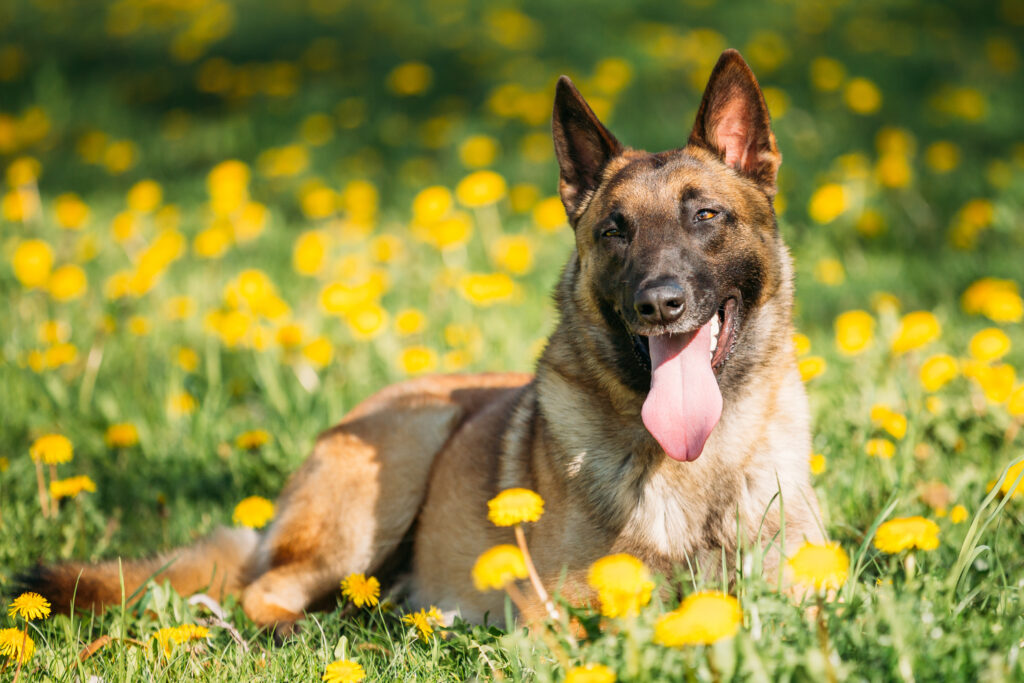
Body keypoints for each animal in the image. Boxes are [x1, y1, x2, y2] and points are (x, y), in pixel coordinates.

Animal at [22, 50, 823, 630]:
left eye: (706, 215)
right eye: (614, 231)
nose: (659, 303)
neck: (698, 464)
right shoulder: (554, 614)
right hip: (403, 455)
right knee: (264, 593)